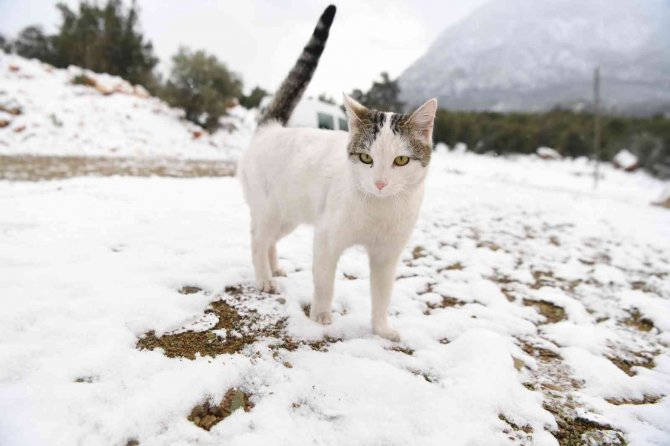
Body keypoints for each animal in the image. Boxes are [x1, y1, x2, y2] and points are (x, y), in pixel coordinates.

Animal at [239, 4, 438, 342]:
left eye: (400, 160)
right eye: (366, 158)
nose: (380, 183)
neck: (379, 209)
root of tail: (271, 129)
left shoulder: (387, 255)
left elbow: (382, 295)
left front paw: (381, 329)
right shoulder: (326, 237)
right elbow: (324, 282)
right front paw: (320, 316)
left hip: (289, 216)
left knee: (269, 241)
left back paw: (274, 267)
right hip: (269, 211)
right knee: (256, 241)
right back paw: (265, 278)